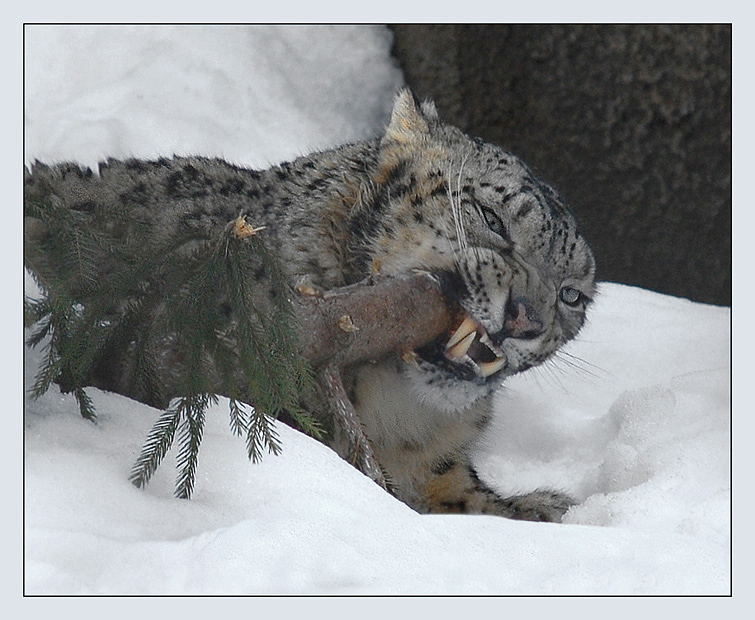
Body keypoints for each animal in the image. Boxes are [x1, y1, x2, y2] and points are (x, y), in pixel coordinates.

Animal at [23, 89, 596, 520]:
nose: (526, 316)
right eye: (491, 219)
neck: (396, 411)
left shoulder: (438, 470)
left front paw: (545, 507)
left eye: (572, 294)